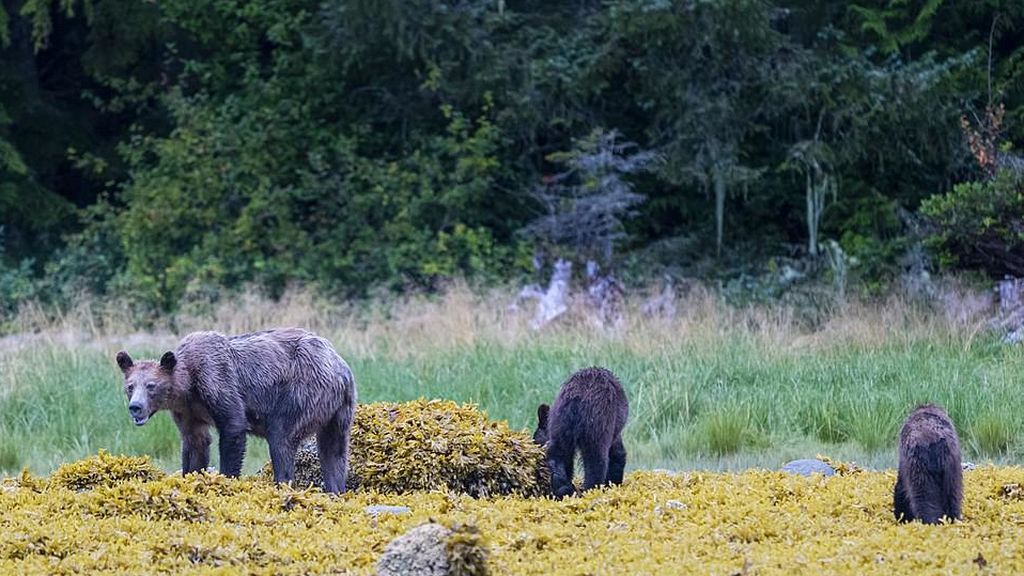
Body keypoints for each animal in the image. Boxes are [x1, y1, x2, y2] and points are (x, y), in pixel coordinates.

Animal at [114, 327, 356, 494]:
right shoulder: (188, 411)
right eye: (130, 386)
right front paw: (190, 475)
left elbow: (233, 427)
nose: (135, 407)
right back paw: (336, 489)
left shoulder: (217, 381)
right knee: (334, 451)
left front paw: (225, 478)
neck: (188, 386)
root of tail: (340, 367)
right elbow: (196, 442)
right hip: (338, 411)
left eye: (151, 386)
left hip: (300, 393)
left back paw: (283, 484)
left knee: (281, 439)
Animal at [532, 364, 626, 496]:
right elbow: (618, 453)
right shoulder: (613, 429)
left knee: (558, 454)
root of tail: (576, 399)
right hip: (596, 425)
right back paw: (590, 489)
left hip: (561, 422)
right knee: (596, 461)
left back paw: (563, 488)